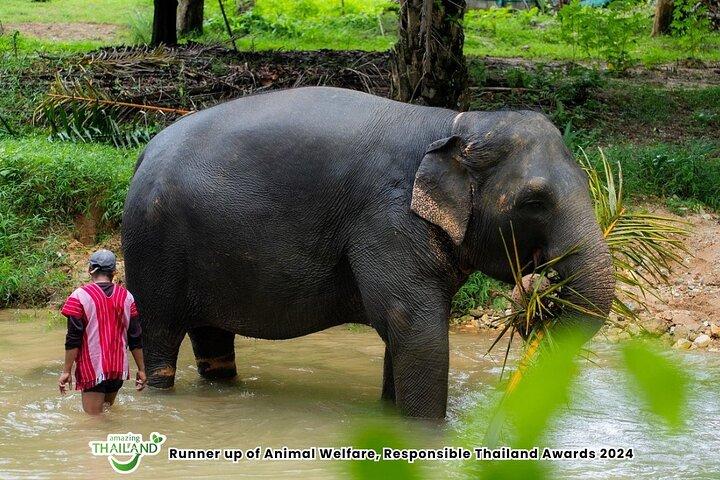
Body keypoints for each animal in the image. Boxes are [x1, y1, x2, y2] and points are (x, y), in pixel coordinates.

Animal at [122, 86, 614, 418]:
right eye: (534, 201)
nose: (540, 292)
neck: (456, 125)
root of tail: (145, 151)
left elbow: (405, 336)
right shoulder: (387, 220)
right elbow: (412, 325)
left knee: (212, 339)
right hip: (153, 246)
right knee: (161, 336)